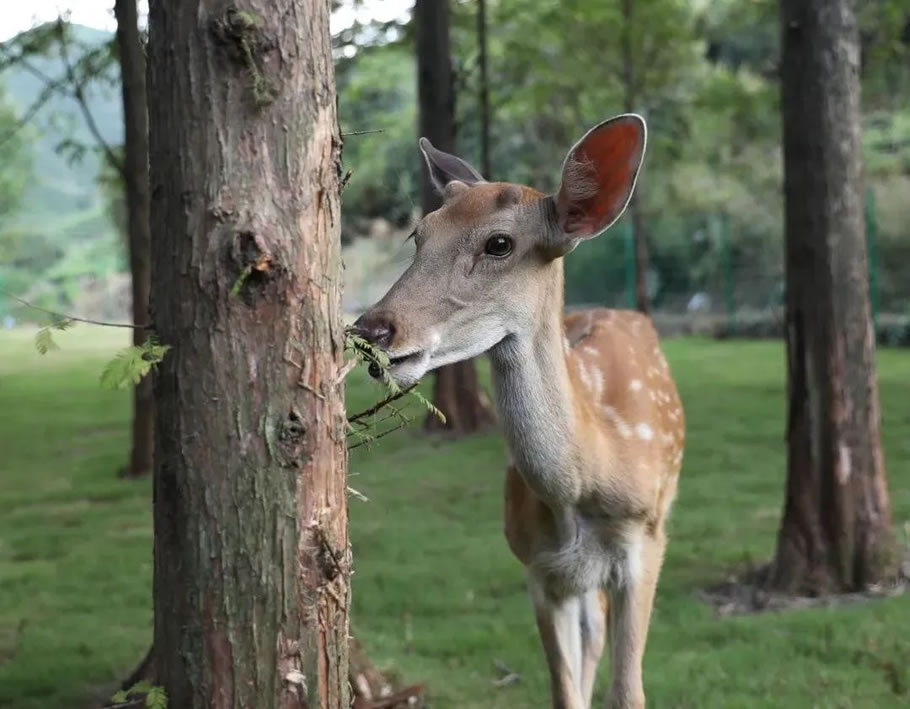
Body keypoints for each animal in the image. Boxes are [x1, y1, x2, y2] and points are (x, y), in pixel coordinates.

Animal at [352, 113, 688, 704]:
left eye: (500, 243)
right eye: (419, 234)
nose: (371, 332)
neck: (587, 478)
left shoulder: (644, 545)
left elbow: (629, 692)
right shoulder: (537, 567)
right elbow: (564, 691)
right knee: (591, 630)